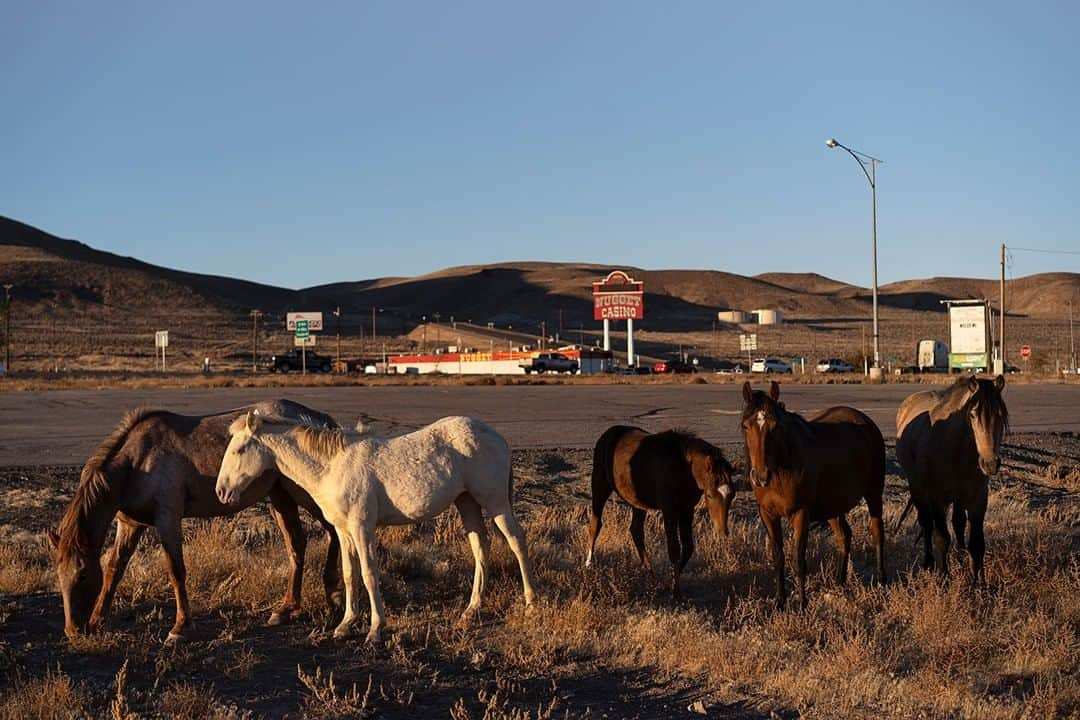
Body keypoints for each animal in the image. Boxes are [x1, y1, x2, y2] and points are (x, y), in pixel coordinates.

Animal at [45, 399, 341, 643]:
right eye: (59, 574)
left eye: (83, 574)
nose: (73, 630)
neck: (136, 462)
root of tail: (318, 418)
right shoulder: (130, 525)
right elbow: (114, 569)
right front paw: (98, 620)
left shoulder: (168, 520)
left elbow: (176, 571)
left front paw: (180, 627)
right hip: (281, 496)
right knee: (297, 544)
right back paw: (287, 608)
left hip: (304, 494)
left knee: (332, 530)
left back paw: (333, 598)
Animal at [217, 414, 537, 643]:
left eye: (240, 449)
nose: (221, 491)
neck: (333, 466)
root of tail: (494, 436)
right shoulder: (344, 532)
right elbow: (349, 575)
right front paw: (346, 624)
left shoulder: (362, 528)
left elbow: (370, 574)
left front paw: (375, 630)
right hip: (466, 502)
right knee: (480, 548)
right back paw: (472, 609)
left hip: (495, 502)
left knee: (517, 542)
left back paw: (530, 602)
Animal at [587, 425, 738, 600]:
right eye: (709, 495)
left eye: (732, 495)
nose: (722, 531)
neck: (684, 468)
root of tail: (609, 433)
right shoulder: (669, 510)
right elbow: (674, 549)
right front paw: (676, 592)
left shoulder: (687, 509)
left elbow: (688, 547)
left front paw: (669, 583)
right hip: (600, 486)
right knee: (595, 525)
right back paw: (589, 565)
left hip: (638, 503)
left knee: (636, 531)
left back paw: (650, 575)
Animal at [743, 379, 885, 613]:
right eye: (746, 426)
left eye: (776, 426)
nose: (761, 476)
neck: (782, 467)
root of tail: (866, 422)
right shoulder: (767, 514)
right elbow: (778, 557)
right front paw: (780, 602)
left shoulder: (801, 513)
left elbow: (798, 559)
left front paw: (802, 604)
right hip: (833, 505)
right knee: (844, 536)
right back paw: (839, 583)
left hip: (874, 492)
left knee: (877, 534)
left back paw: (881, 581)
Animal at [889, 371, 1006, 578]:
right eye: (973, 415)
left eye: (1000, 415)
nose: (990, 463)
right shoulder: (935, 496)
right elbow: (941, 537)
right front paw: (943, 577)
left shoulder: (978, 498)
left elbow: (977, 543)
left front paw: (979, 582)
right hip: (918, 489)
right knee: (927, 523)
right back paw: (928, 562)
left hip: (957, 497)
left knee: (958, 523)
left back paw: (960, 557)